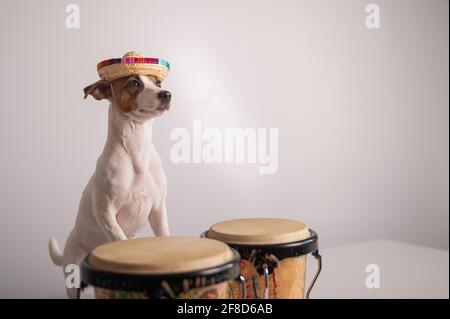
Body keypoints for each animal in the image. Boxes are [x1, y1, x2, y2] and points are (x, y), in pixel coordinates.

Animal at [47, 75, 171, 300]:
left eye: (157, 82)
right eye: (134, 83)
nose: (166, 94)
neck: (136, 150)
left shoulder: (158, 210)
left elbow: (164, 234)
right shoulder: (106, 213)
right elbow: (119, 237)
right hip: (73, 280)